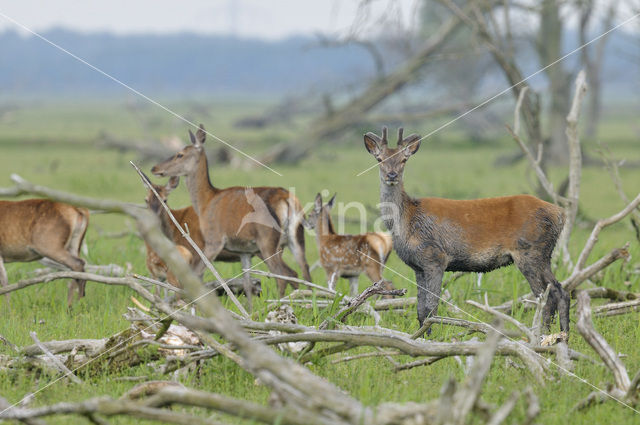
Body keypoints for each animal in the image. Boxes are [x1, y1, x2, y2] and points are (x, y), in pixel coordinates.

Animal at [150, 124, 310, 296]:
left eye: (180, 154)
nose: (155, 168)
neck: (206, 201)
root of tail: (287, 198)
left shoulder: (211, 242)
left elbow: (196, 275)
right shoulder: (241, 251)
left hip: (268, 242)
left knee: (283, 275)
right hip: (296, 239)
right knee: (302, 272)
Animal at [364, 126, 568, 334]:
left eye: (403, 159)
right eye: (379, 159)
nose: (392, 175)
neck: (407, 220)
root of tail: (560, 213)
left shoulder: (435, 258)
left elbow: (432, 308)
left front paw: (433, 336)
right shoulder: (418, 266)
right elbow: (420, 310)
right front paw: (422, 336)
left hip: (529, 251)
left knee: (545, 297)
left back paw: (543, 335)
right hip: (543, 254)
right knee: (560, 290)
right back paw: (562, 334)